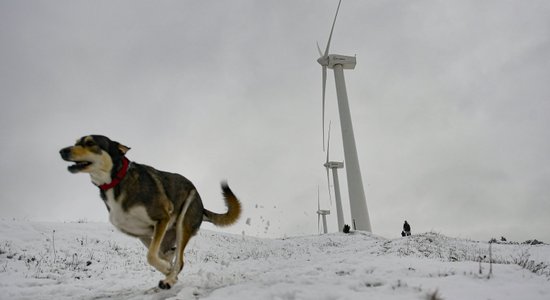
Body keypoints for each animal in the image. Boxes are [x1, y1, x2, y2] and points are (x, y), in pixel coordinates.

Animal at [59, 135, 243, 288]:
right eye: (76, 142)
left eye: (90, 143)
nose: (62, 151)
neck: (117, 180)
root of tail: (202, 207)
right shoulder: (140, 231)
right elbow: (155, 255)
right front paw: (167, 269)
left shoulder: (162, 218)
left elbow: (151, 256)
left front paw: (168, 271)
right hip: (161, 236)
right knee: (170, 254)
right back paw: (170, 273)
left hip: (183, 221)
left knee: (179, 261)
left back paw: (169, 278)